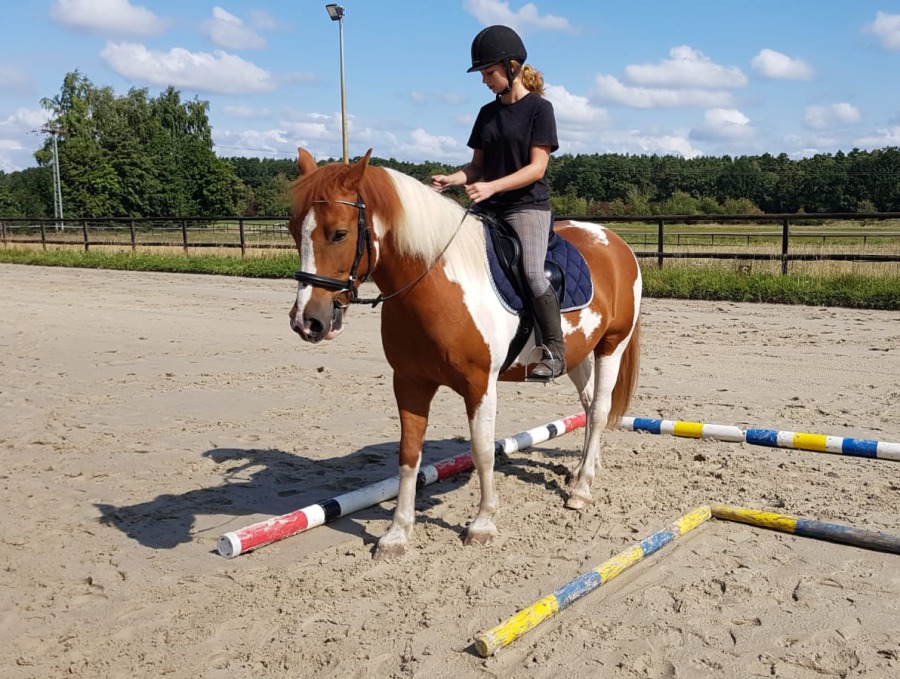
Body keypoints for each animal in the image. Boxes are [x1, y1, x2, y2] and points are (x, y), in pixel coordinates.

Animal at [288, 147, 642, 559]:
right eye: (294, 231)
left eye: (339, 234)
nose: (307, 321)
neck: (434, 282)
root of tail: (614, 242)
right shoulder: (409, 383)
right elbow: (408, 456)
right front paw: (397, 533)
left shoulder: (480, 384)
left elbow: (483, 450)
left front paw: (483, 523)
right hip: (577, 353)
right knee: (587, 406)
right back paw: (588, 466)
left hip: (611, 345)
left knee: (599, 410)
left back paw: (582, 488)